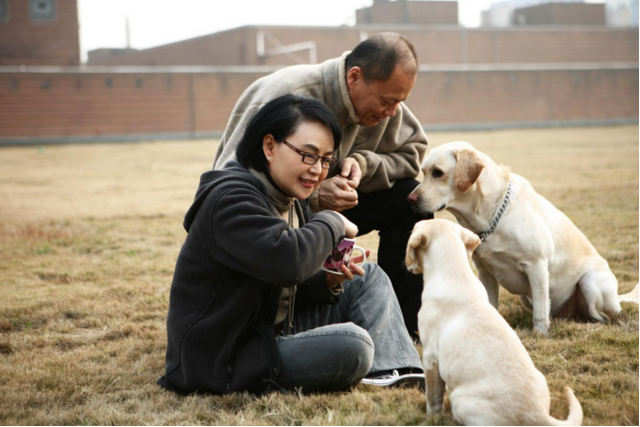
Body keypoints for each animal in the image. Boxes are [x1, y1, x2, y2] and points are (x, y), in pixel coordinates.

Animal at [408, 141, 636, 334]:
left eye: (438, 173)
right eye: (423, 172)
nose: (410, 199)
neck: (491, 215)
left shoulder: (537, 266)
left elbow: (541, 310)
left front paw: (540, 333)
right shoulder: (485, 273)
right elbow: (491, 304)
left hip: (591, 282)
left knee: (602, 316)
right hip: (527, 298)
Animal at [408, 221, 584, 427]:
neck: (455, 273)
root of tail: (537, 414)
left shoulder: (430, 357)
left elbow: (433, 397)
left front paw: (430, 417)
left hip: (460, 400)